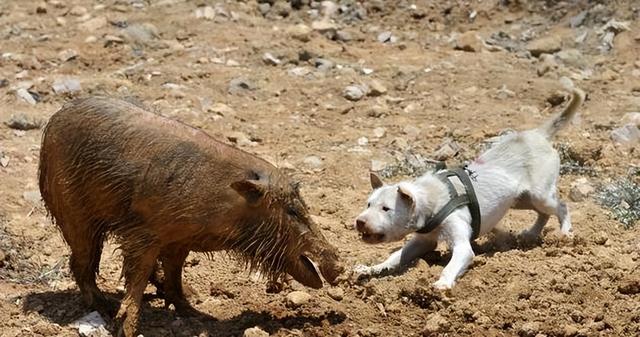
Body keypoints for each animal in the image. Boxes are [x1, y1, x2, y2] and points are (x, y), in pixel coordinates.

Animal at [37, 95, 342, 336]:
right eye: (292, 210)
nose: (340, 265)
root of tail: (54, 118)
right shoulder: (143, 234)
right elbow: (137, 276)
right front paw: (127, 327)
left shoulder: (178, 242)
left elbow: (174, 273)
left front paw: (194, 312)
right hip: (74, 214)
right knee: (80, 262)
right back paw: (103, 305)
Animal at [356, 84, 584, 288]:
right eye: (368, 205)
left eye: (386, 209)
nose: (359, 222)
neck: (432, 198)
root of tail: (536, 134)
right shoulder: (423, 240)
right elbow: (396, 256)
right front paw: (372, 269)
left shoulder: (460, 241)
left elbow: (454, 262)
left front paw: (442, 283)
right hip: (519, 200)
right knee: (543, 213)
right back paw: (531, 234)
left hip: (540, 195)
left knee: (561, 206)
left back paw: (565, 234)